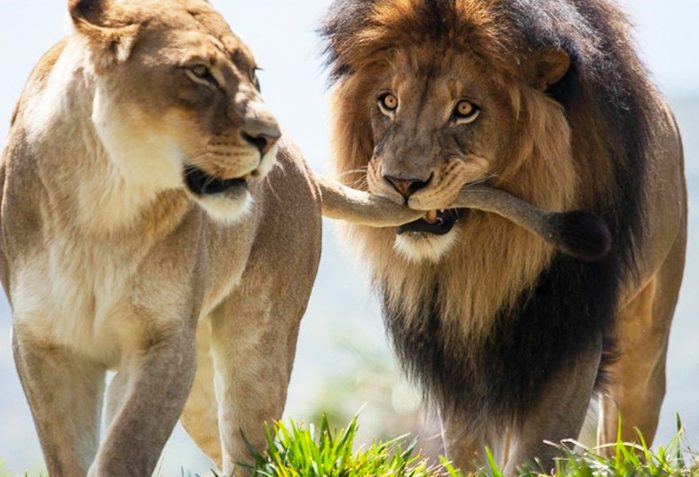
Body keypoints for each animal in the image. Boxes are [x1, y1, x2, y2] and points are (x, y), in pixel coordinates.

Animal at [0, 0, 322, 475]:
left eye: (253, 72)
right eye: (199, 71)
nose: (270, 138)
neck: (102, 206)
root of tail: (304, 163)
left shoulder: (164, 342)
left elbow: (125, 451)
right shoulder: (45, 347)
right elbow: (71, 457)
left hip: (258, 349)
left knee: (249, 450)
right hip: (200, 384)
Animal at [320, 0, 687, 473]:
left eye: (465, 109)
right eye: (388, 102)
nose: (402, 183)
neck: (486, 255)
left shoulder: (569, 337)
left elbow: (536, 455)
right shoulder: (450, 354)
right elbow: (463, 451)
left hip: (646, 342)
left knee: (626, 435)